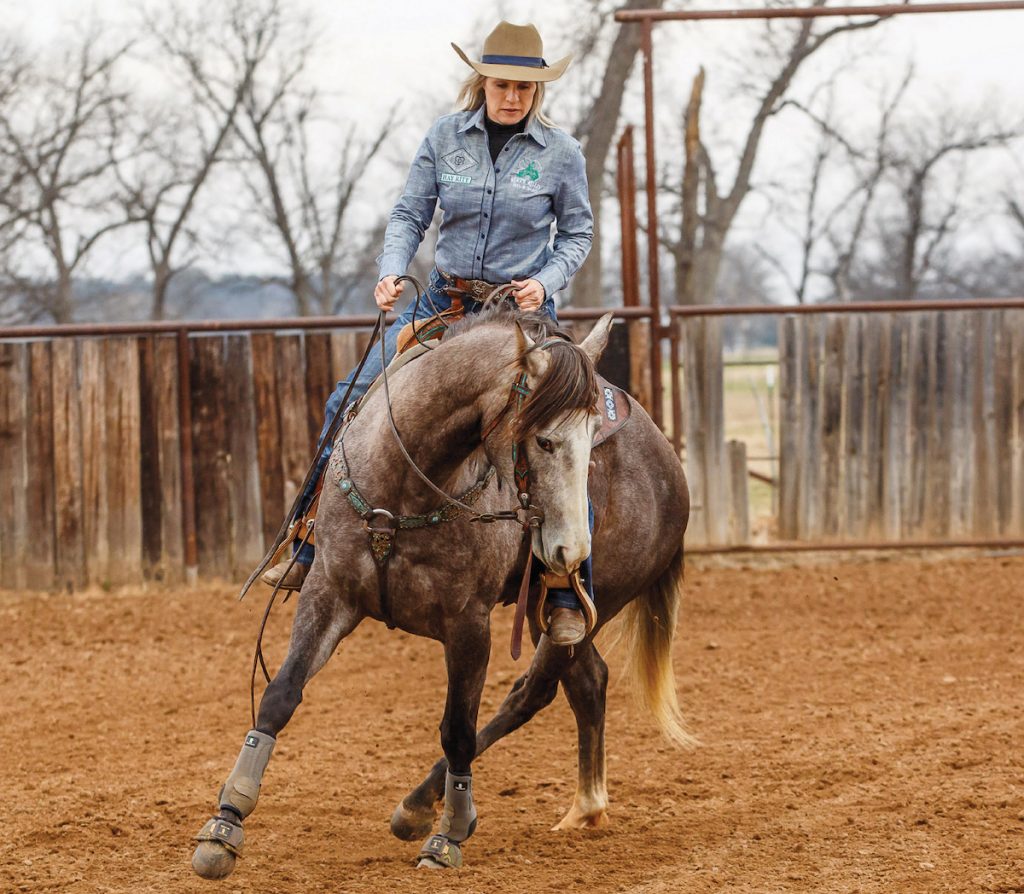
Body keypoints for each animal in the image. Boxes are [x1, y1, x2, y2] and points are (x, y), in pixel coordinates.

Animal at [191, 307, 692, 872]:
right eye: (543, 440)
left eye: (590, 445)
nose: (571, 553)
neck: (407, 482)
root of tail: (670, 465)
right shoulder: (329, 593)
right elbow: (280, 694)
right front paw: (225, 823)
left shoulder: (468, 623)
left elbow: (458, 729)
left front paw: (448, 834)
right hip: (548, 613)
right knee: (587, 682)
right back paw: (584, 808)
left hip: (592, 607)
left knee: (532, 692)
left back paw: (420, 806)